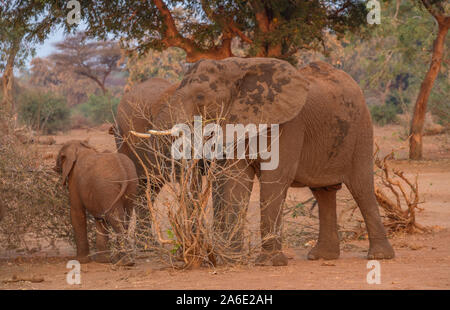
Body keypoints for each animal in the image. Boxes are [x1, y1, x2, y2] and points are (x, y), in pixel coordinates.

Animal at [135, 58, 396, 266]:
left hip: (362, 129)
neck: (239, 68)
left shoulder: (289, 125)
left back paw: (379, 257)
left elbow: (275, 179)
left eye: (200, 96)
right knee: (324, 193)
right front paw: (232, 259)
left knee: (361, 187)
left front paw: (269, 262)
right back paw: (321, 257)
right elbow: (235, 180)